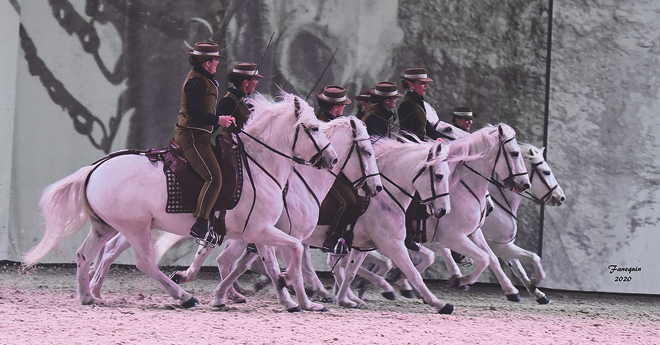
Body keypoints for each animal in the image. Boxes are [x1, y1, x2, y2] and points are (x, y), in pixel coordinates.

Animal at [23, 91, 338, 310]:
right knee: (145, 263)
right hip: (135, 226)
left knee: (84, 255)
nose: (333, 159)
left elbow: (273, 264)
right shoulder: (261, 230)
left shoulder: (259, 232)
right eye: (313, 128)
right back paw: (184, 296)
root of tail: (95, 168)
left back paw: (89, 297)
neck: (259, 165)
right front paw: (296, 291)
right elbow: (294, 250)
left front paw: (296, 302)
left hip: (105, 226)